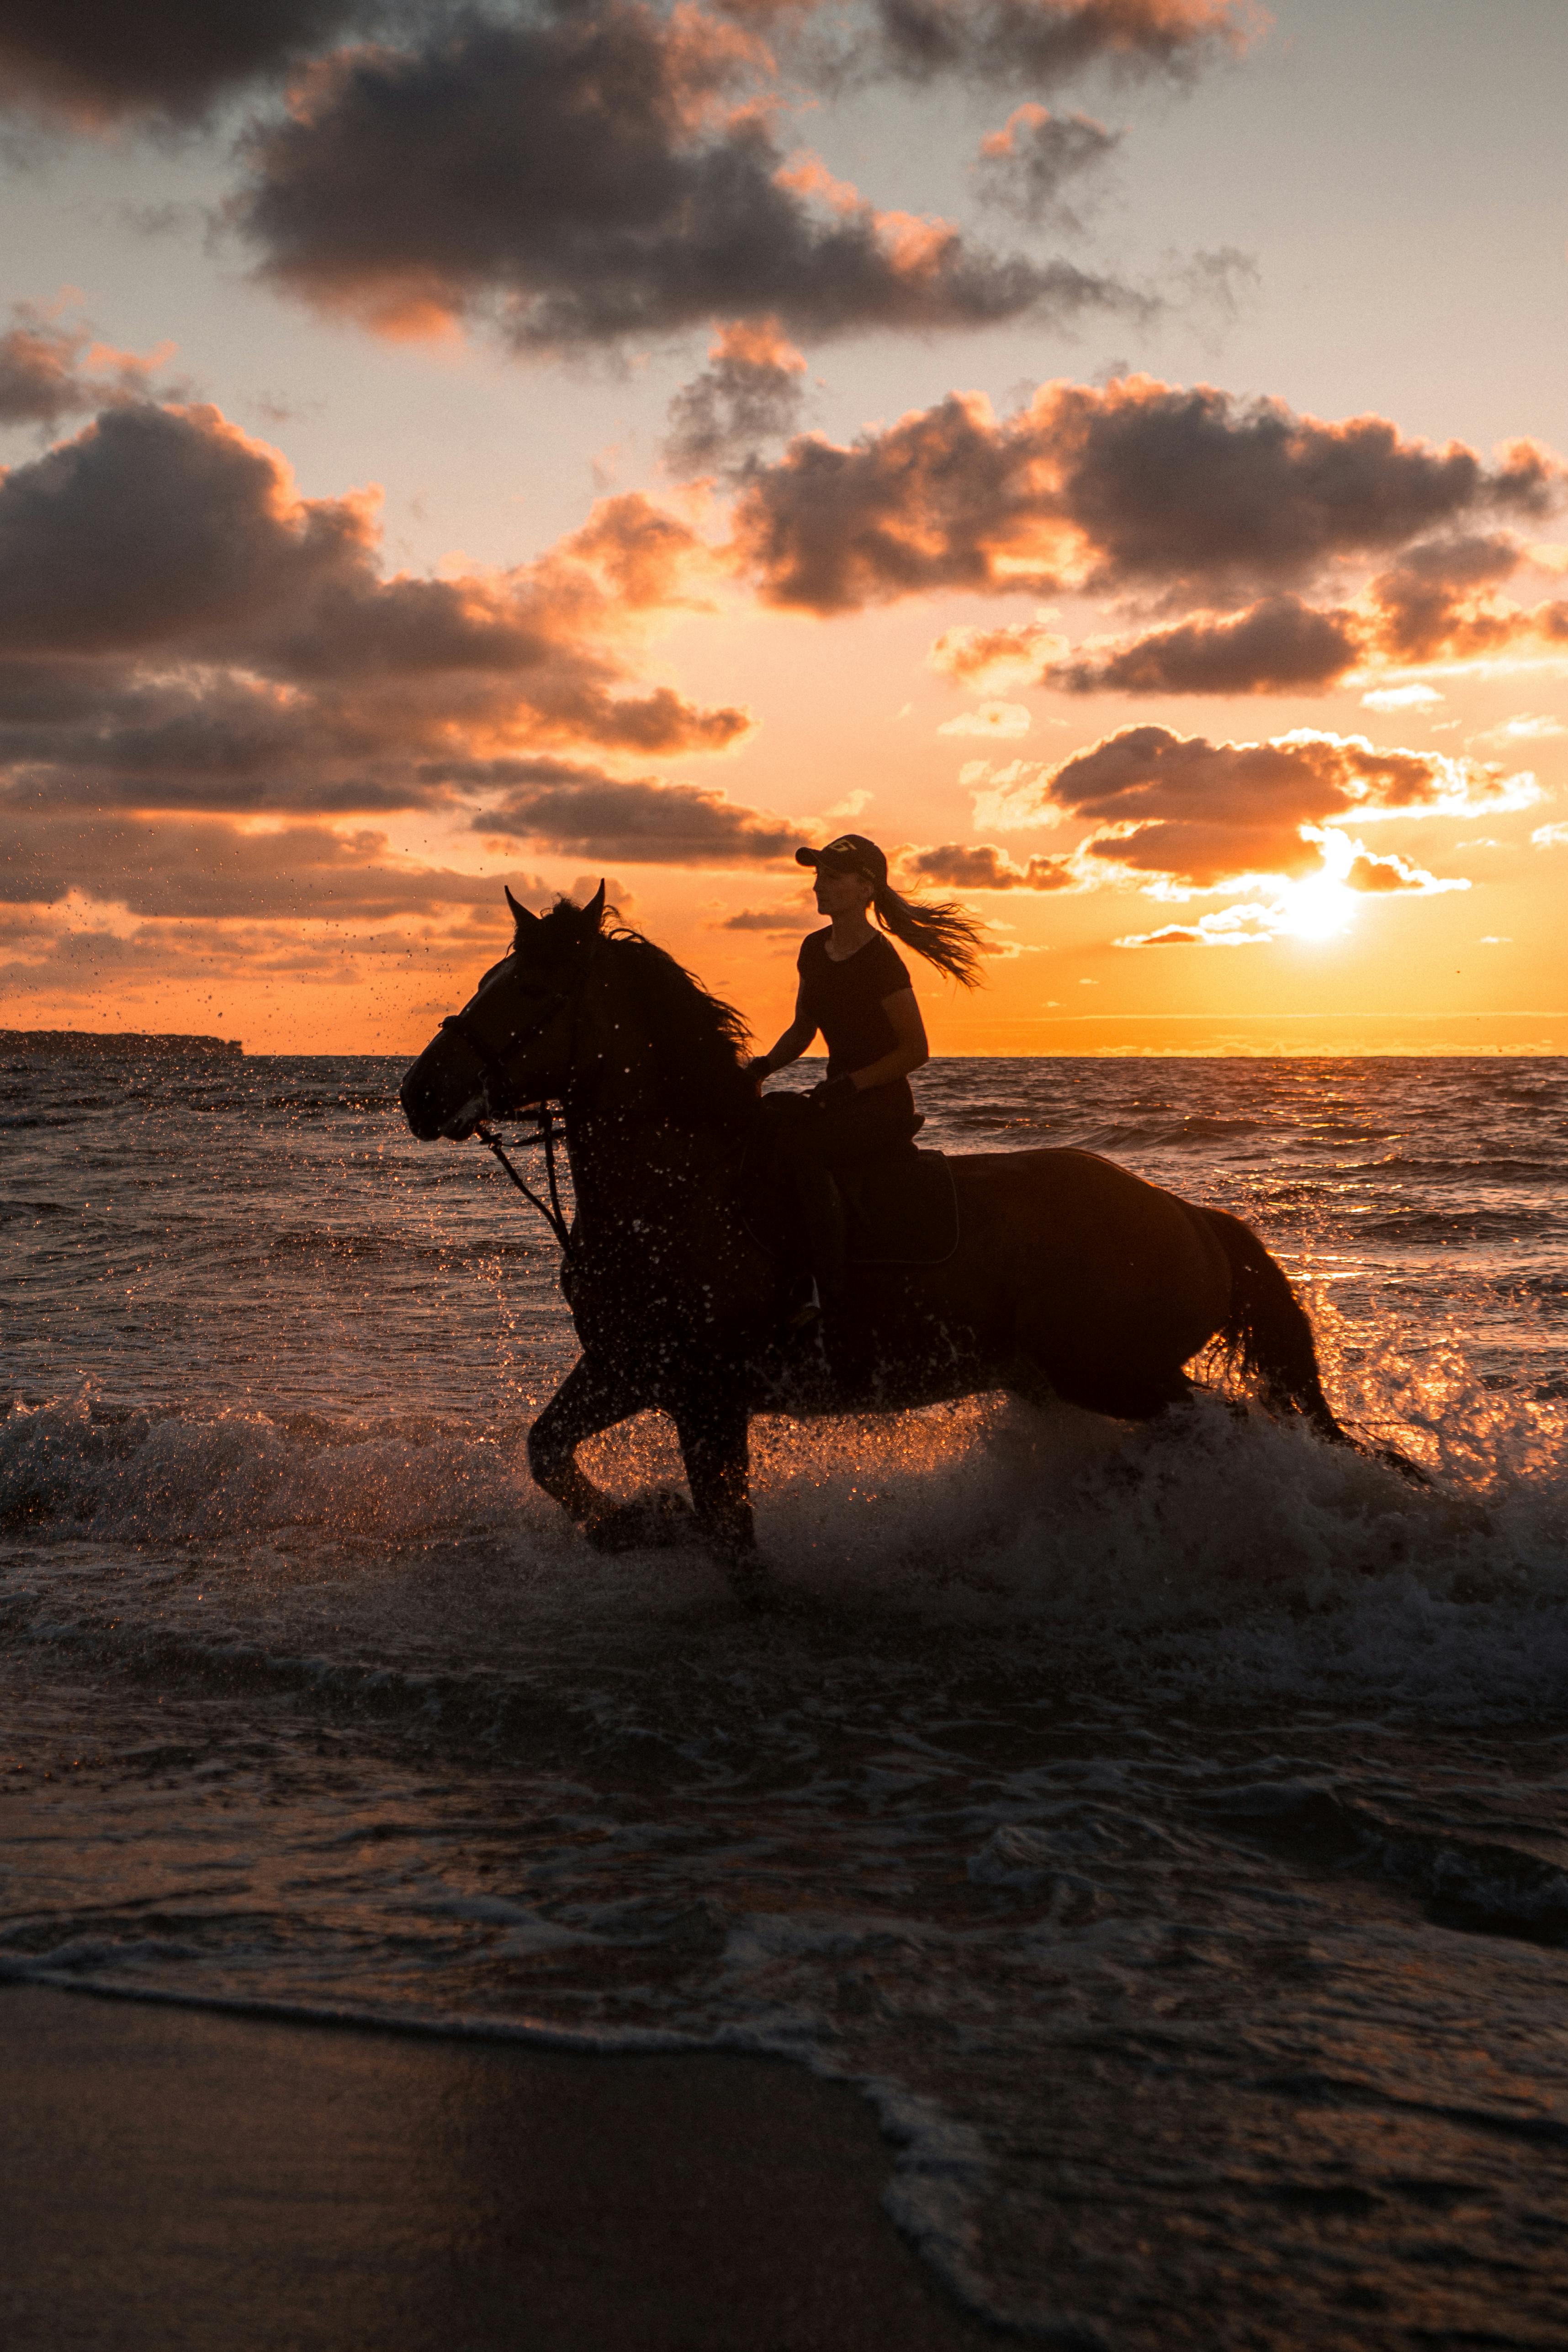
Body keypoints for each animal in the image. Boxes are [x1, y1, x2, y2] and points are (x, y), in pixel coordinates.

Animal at [400, 885, 1355, 1592]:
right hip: (1066, 1376)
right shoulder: (631, 1366)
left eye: (530, 989)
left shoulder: (707, 1393)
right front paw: (639, 1521)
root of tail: (1189, 1214)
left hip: (1114, 1370)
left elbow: (733, 1538)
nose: (418, 1092)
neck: (677, 1189)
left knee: (1227, 1426)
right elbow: (547, 1451)